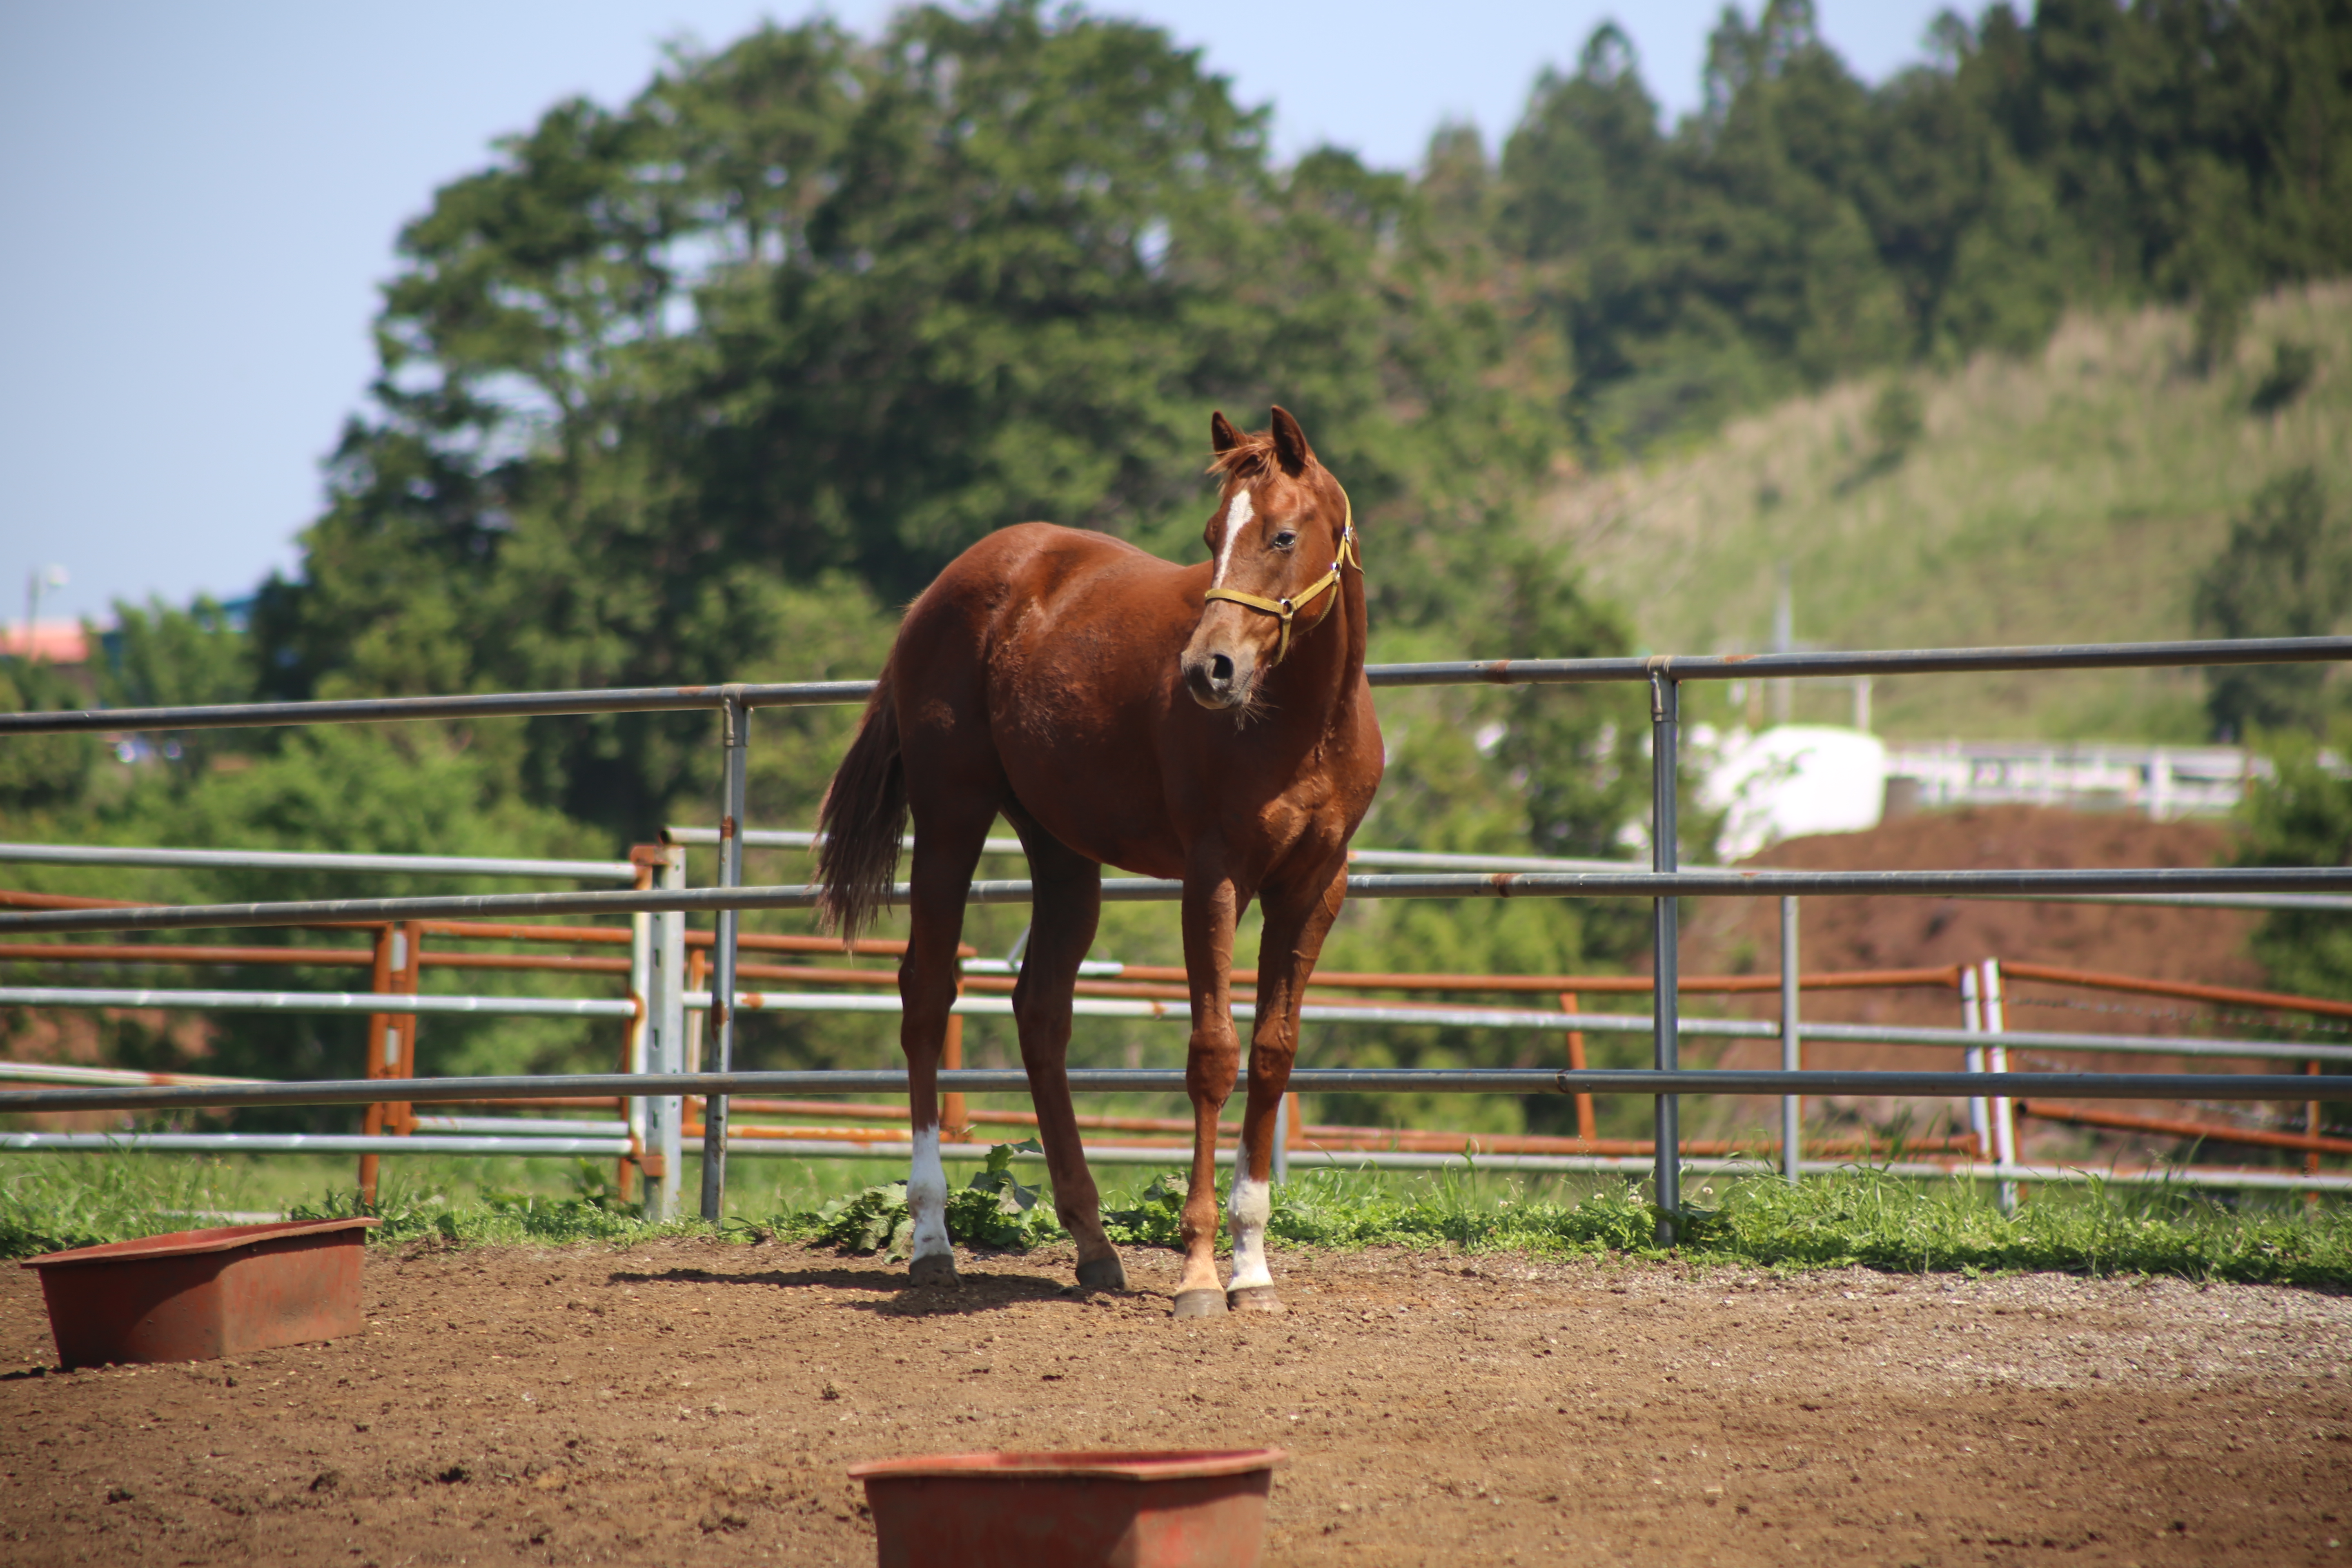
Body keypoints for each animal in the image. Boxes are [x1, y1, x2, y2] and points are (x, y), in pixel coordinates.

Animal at [823, 404, 1373, 1316]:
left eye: (1285, 534)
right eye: (1212, 534)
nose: (1208, 669)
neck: (1296, 727)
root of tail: (940, 590)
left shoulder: (1312, 888)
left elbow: (1272, 1055)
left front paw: (1253, 1269)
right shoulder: (1214, 879)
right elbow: (1213, 1055)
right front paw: (1198, 1272)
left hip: (1062, 854)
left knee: (1040, 1012)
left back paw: (1092, 1245)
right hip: (950, 820)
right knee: (927, 998)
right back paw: (933, 1242)